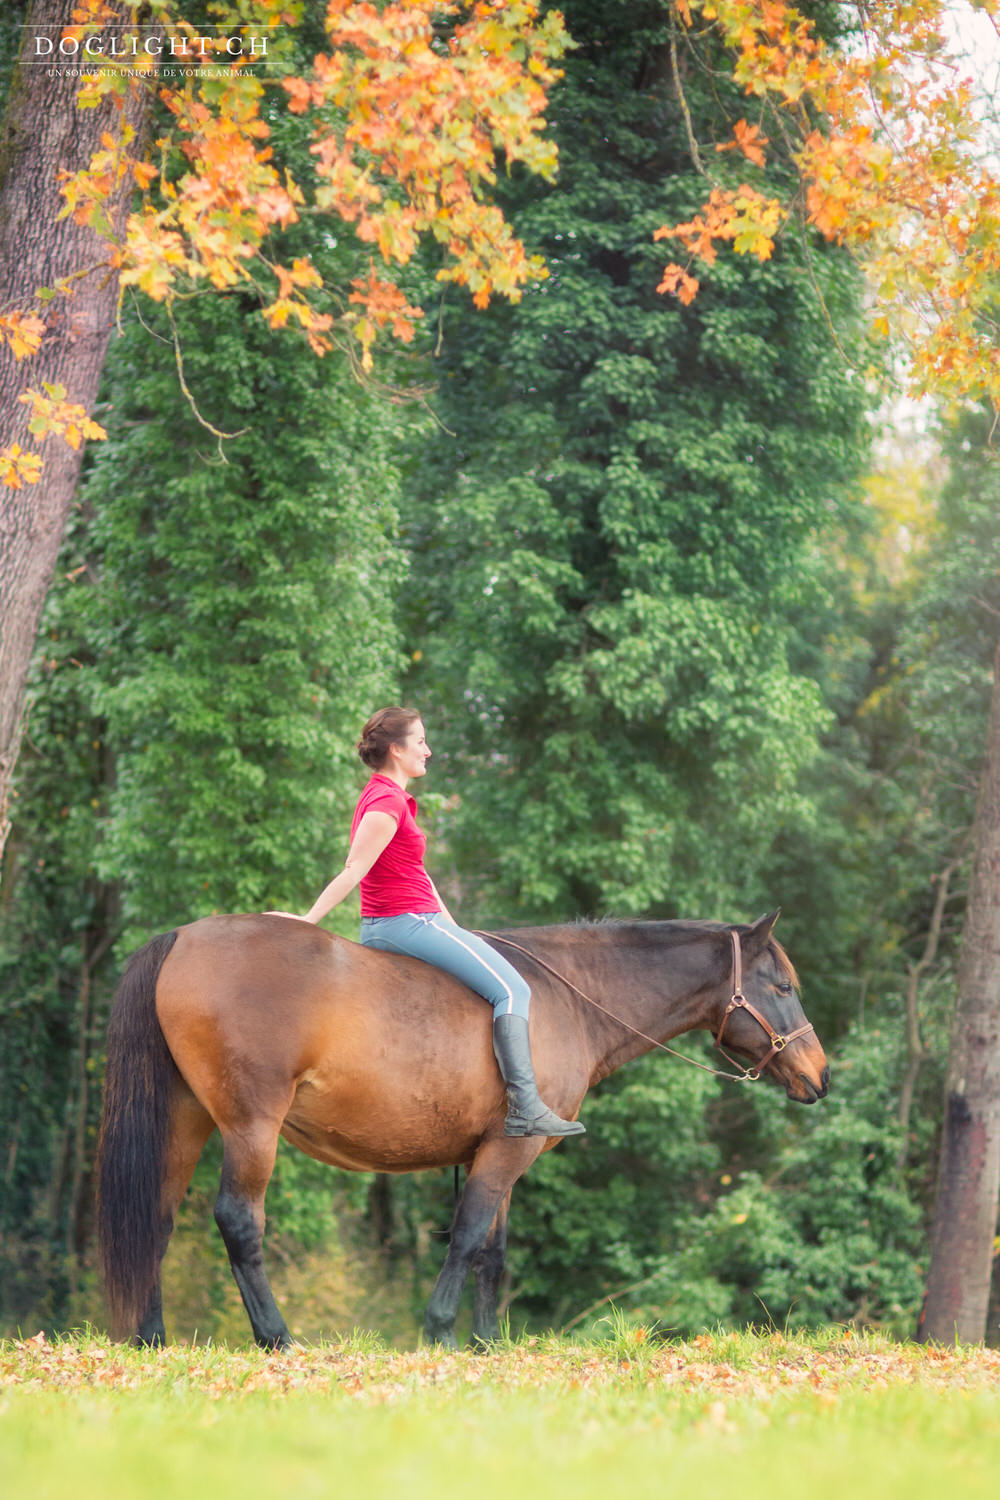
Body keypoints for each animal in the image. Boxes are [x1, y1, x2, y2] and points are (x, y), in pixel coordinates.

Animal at [95, 906, 827, 1356]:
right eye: (783, 986)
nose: (819, 1074)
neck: (564, 1000)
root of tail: (183, 938)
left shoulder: (497, 1155)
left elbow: (493, 1253)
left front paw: (487, 1342)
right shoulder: (508, 1151)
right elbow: (468, 1237)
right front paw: (442, 1333)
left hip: (185, 1121)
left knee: (154, 1218)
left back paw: (150, 1336)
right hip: (251, 1129)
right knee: (239, 1221)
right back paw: (276, 1336)